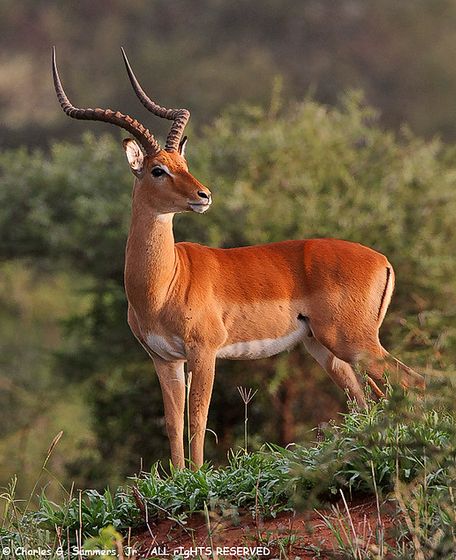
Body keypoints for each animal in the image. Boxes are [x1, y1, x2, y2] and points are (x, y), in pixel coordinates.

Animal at [52, 48, 424, 468]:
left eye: (182, 165)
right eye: (158, 169)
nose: (204, 196)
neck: (163, 284)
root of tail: (383, 260)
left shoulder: (204, 351)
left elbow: (197, 419)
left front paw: (198, 476)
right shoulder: (164, 359)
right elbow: (173, 424)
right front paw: (178, 477)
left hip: (352, 341)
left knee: (410, 381)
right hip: (323, 347)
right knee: (364, 400)